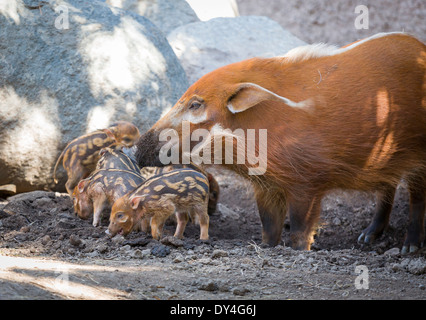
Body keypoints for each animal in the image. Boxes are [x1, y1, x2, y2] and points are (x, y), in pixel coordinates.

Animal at [135, 33, 424, 252]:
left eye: (195, 104)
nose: (138, 151)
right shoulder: (266, 185)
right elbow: (269, 228)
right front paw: (267, 248)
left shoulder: (307, 182)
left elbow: (299, 230)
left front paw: (301, 250)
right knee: (388, 187)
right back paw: (367, 237)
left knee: (416, 197)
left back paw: (410, 248)